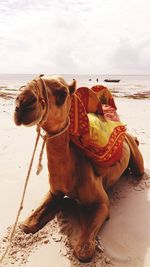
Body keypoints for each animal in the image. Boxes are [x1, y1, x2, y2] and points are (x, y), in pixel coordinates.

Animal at [13, 76, 144, 262]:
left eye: (62, 93)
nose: (23, 102)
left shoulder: (102, 203)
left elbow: (84, 251)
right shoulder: (54, 191)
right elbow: (25, 225)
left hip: (135, 154)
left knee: (139, 170)